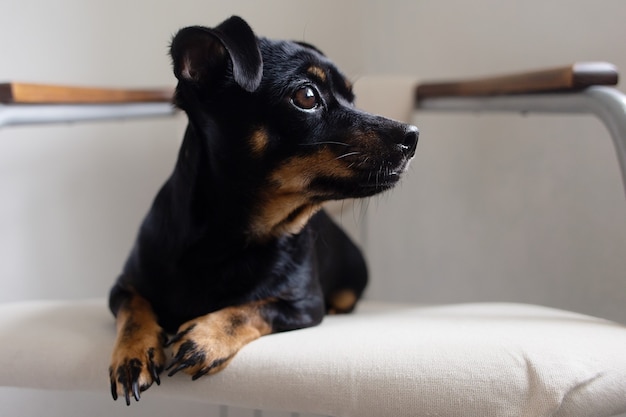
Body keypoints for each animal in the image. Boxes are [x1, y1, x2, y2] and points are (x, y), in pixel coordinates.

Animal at [109, 15, 416, 404]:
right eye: (306, 96)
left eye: (352, 98)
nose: (413, 136)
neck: (226, 241)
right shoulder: (121, 288)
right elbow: (134, 309)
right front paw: (133, 354)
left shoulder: (303, 304)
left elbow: (256, 308)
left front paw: (205, 338)